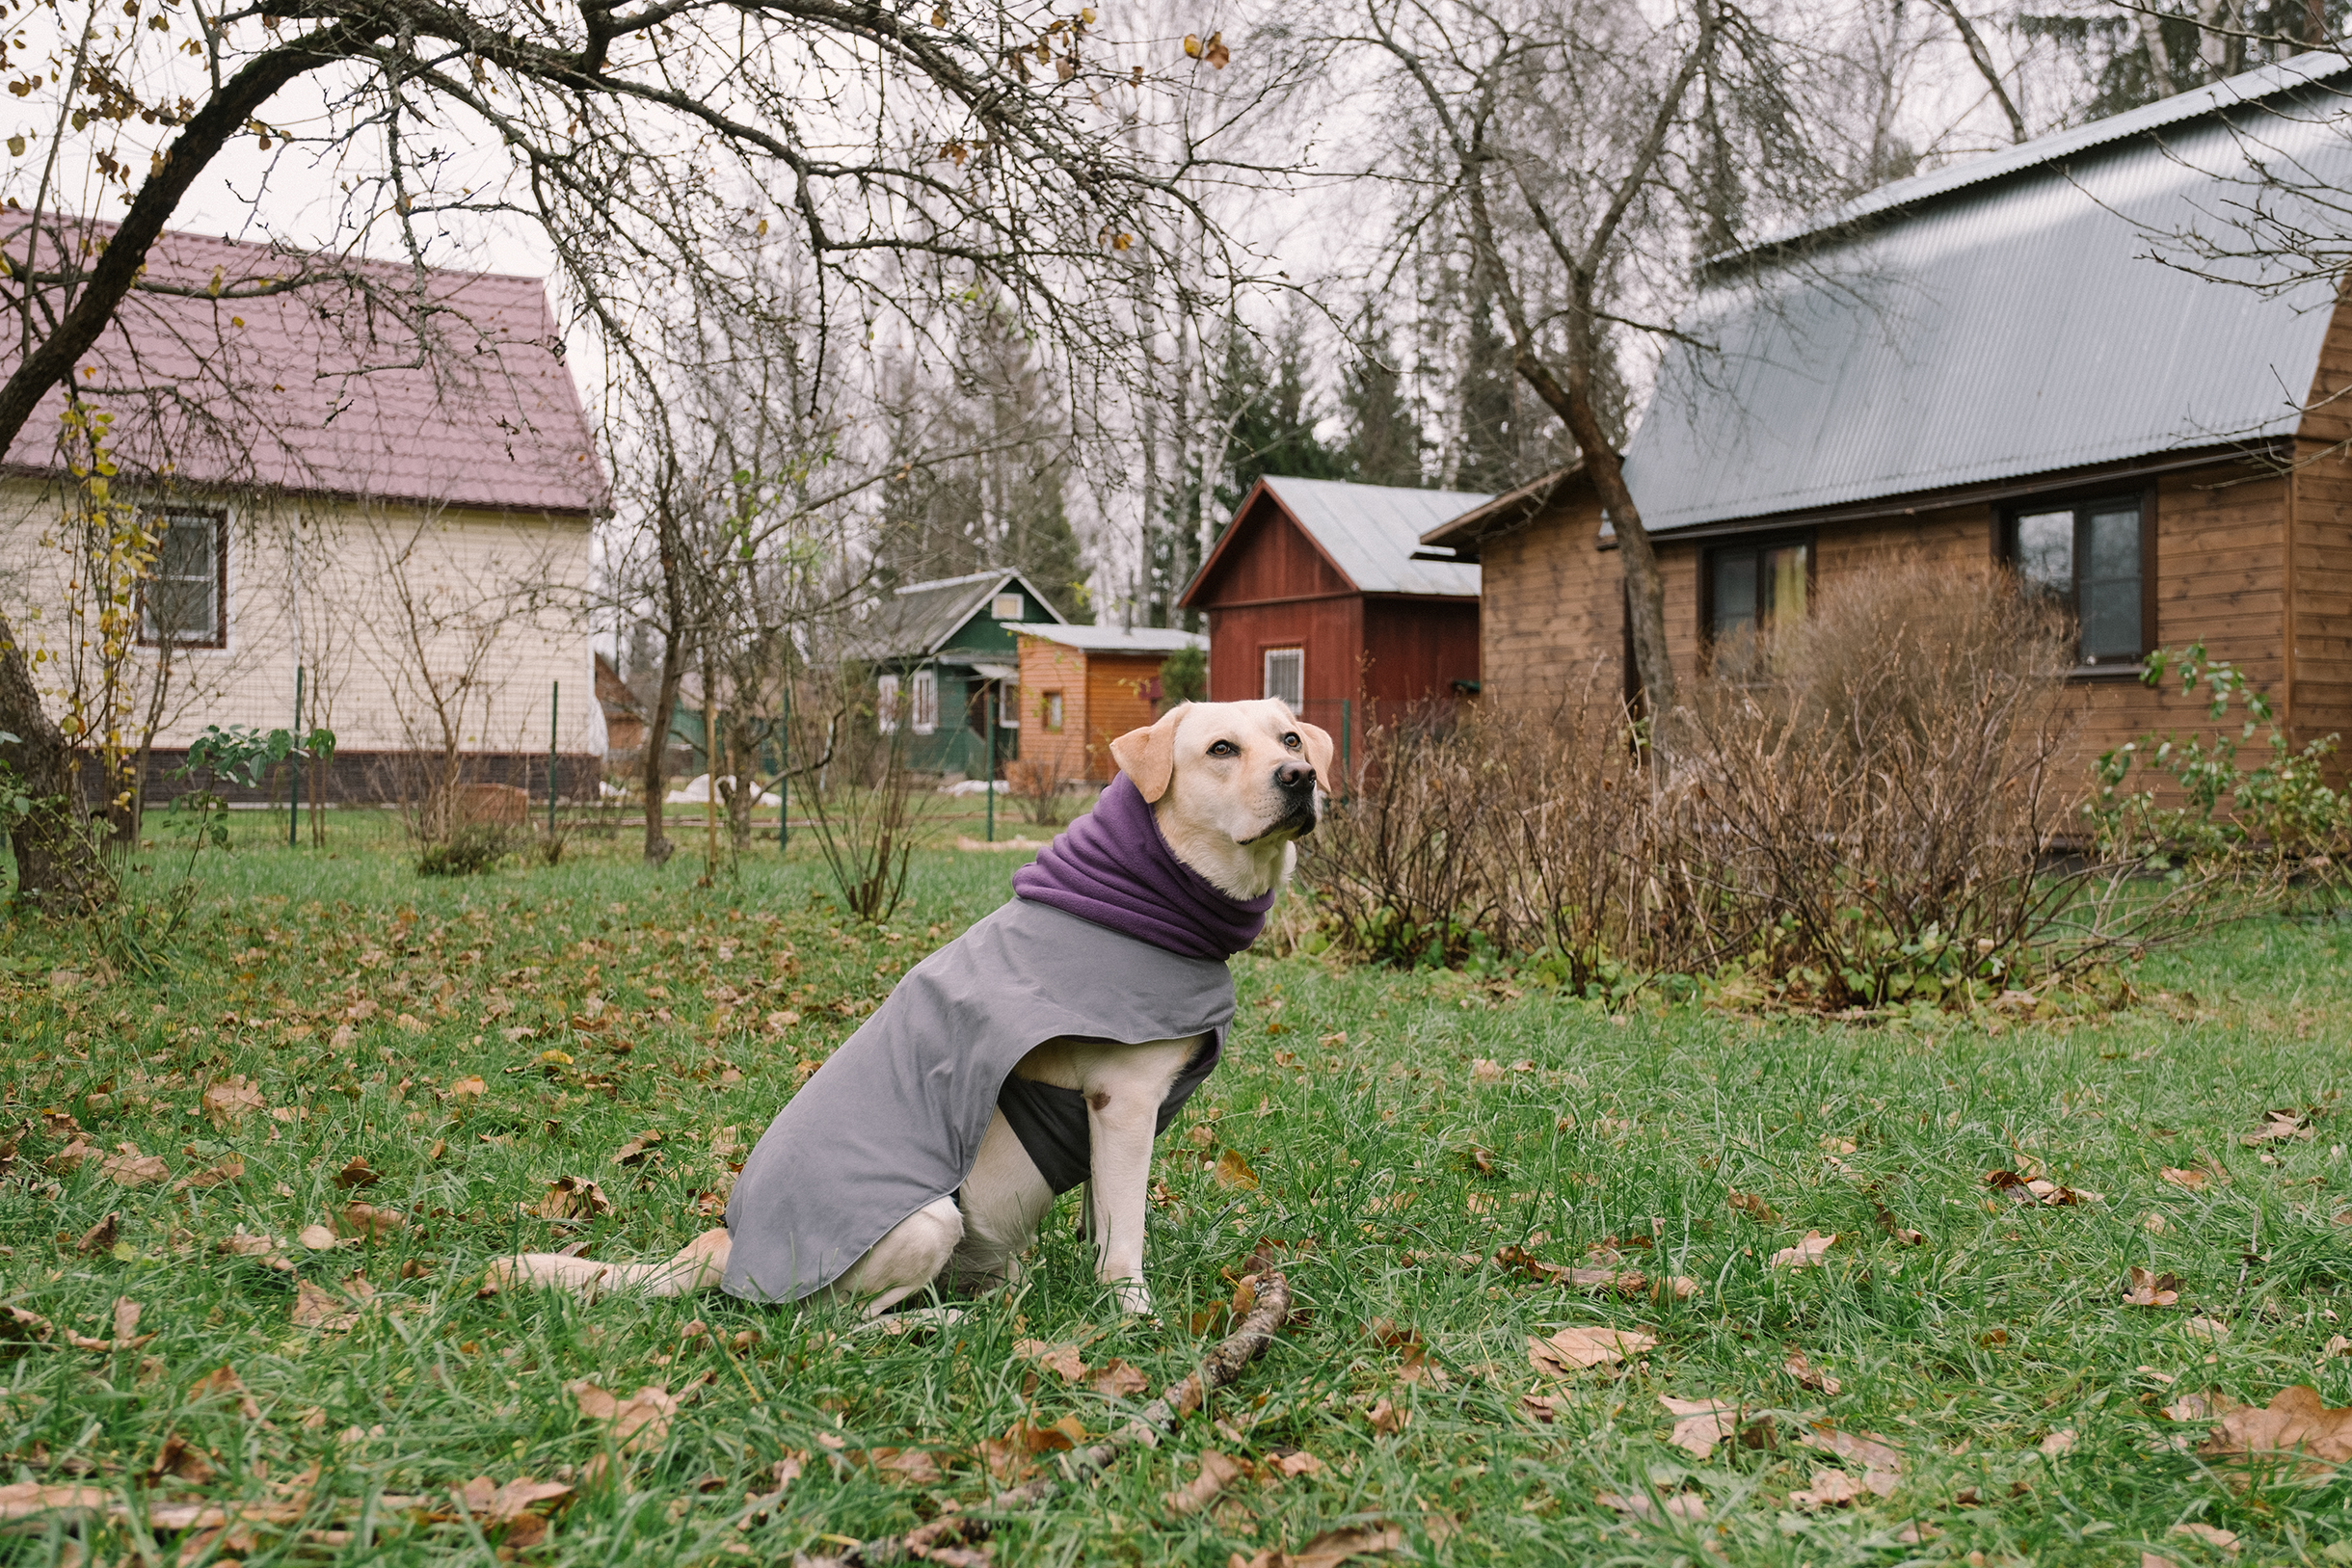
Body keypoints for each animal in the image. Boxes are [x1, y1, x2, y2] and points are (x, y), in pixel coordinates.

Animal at [487, 700, 1335, 1316]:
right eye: (1220, 749)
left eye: (1291, 737)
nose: (1300, 775)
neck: (1148, 897)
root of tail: (725, 1246)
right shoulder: (1121, 1103)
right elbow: (1125, 1238)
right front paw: (1133, 1316)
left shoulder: (1107, 1127)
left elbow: (1100, 1222)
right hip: (930, 1218)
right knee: (831, 1323)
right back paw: (948, 1321)